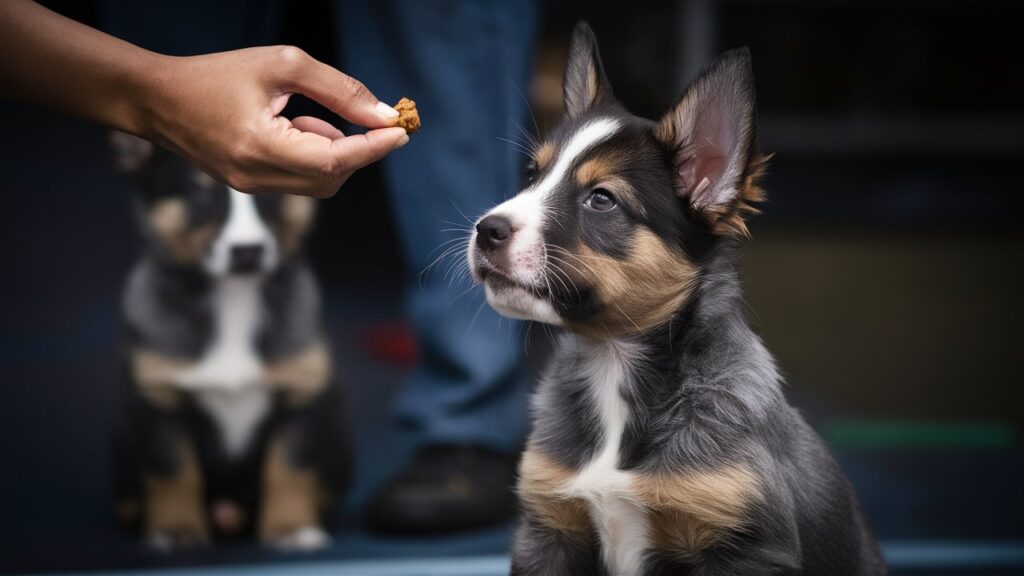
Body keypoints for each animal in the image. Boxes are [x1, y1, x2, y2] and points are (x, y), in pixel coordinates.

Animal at [107, 132, 348, 549]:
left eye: (275, 187)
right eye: (197, 190)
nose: (247, 252)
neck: (234, 299)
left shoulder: (301, 394)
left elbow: (289, 469)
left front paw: (290, 527)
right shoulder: (156, 401)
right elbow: (173, 473)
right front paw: (177, 529)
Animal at [468, 23, 884, 573]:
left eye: (601, 199)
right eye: (533, 176)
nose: (485, 230)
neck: (616, 366)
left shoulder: (742, 548)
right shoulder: (549, 532)